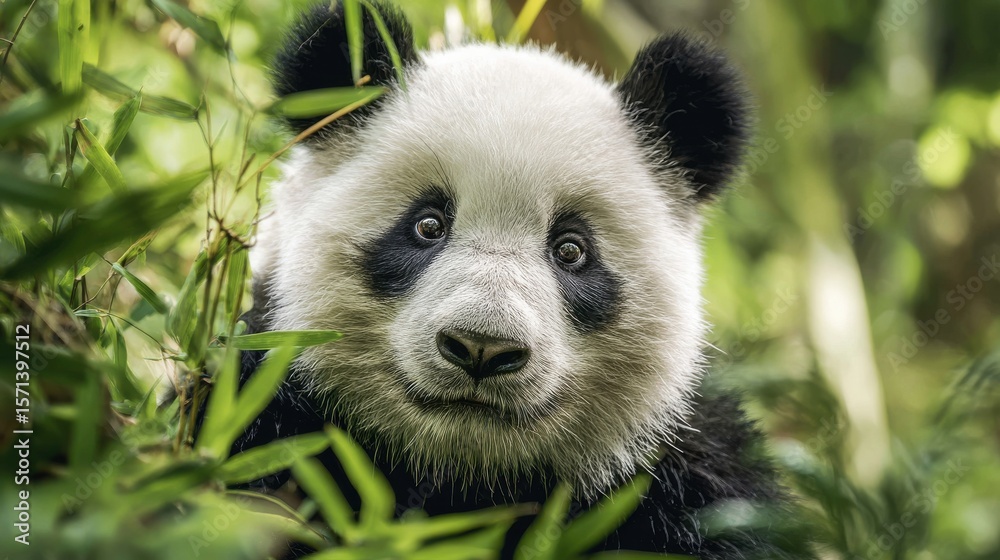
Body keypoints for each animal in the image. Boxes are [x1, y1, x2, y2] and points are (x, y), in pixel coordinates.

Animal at [232, 1, 813, 558]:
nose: (482, 347)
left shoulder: (689, 477)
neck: (465, 478)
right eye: (428, 225)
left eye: (571, 250)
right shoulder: (271, 408)